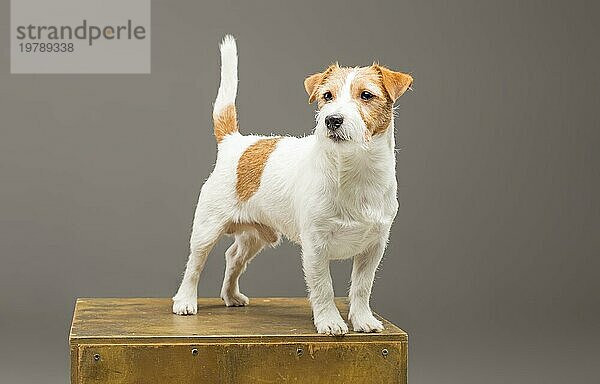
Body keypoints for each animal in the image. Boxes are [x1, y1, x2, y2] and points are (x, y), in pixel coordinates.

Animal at [173, 36, 412, 336]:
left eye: (366, 95)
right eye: (327, 96)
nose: (332, 120)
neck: (353, 170)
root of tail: (234, 142)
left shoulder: (374, 248)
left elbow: (361, 287)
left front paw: (363, 319)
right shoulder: (315, 246)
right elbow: (323, 287)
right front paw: (330, 321)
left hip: (255, 235)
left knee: (233, 256)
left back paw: (231, 296)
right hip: (207, 228)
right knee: (195, 264)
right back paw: (185, 301)